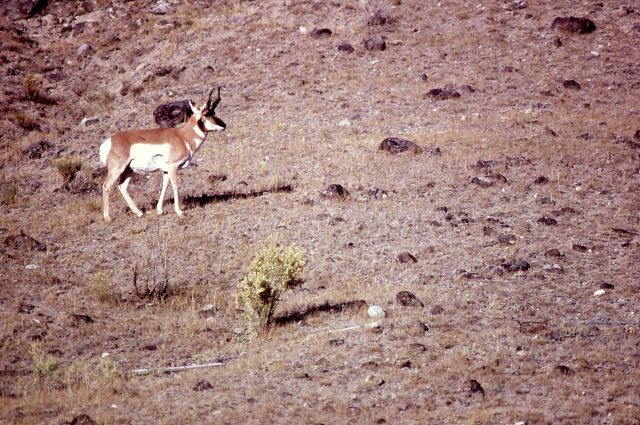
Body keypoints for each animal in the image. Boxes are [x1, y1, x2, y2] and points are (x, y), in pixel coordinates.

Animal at [99, 86, 226, 222]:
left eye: (214, 112)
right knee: (106, 186)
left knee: (122, 187)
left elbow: (164, 186)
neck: (183, 137)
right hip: (117, 169)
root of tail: (109, 141)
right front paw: (179, 212)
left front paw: (160, 210)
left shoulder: (165, 170)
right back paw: (108, 218)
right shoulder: (173, 167)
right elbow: (175, 185)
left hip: (128, 170)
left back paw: (139, 213)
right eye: (207, 114)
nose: (224, 125)